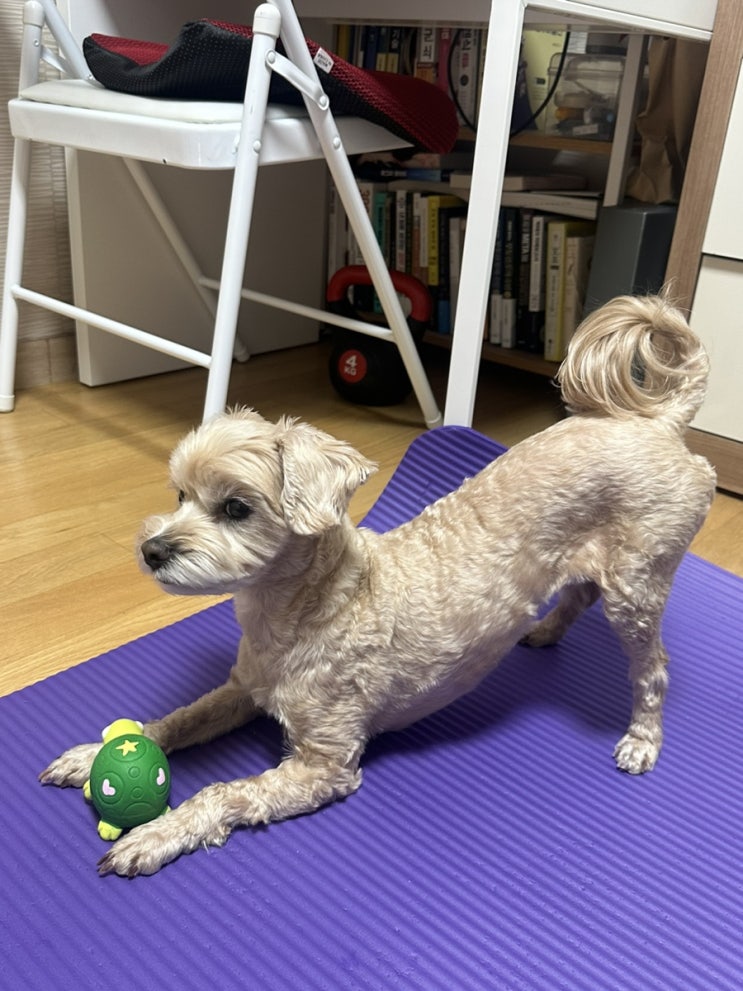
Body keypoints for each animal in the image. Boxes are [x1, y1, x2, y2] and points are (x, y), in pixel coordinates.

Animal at [41, 294, 716, 877]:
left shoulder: (324, 766)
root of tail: (660, 424)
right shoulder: (241, 689)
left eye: (235, 508)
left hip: (638, 586)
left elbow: (223, 792)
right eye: (179, 494)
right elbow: (177, 720)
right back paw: (545, 631)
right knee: (578, 591)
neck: (304, 610)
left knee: (652, 667)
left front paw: (156, 833)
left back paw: (642, 739)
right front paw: (94, 754)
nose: (152, 549)